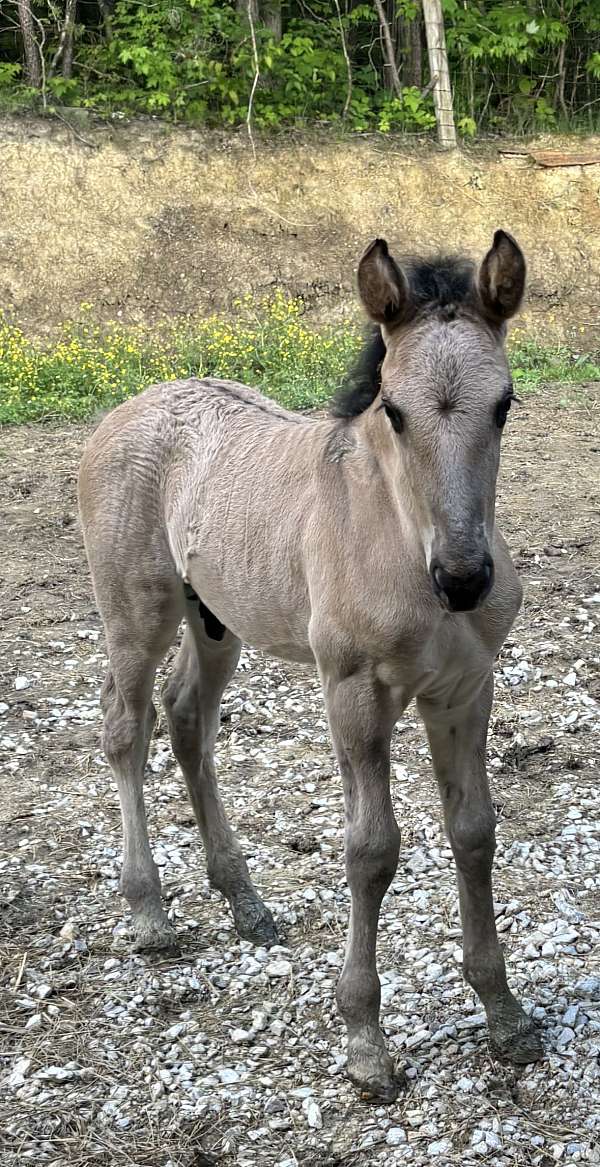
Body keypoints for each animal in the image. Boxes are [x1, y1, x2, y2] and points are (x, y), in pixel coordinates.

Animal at [78, 229, 541, 1101]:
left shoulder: (465, 690)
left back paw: (245, 901)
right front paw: (365, 1040)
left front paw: (504, 1013)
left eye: (504, 405)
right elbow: (372, 849)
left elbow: (474, 831)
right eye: (393, 410)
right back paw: (149, 910)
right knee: (126, 728)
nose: (465, 578)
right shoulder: (353, 692)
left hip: (216, 620)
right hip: (136, 610)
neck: (398, 534)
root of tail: (128, 408)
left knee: (186, 717)